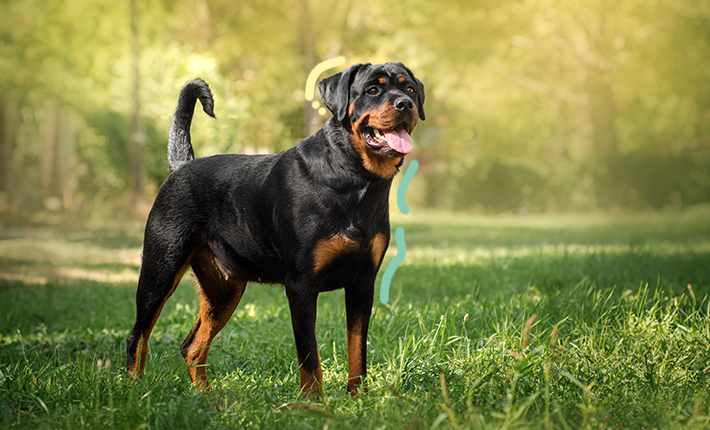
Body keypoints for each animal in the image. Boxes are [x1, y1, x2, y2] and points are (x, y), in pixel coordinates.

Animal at [126, 61, 426, 396]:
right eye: (373, 90)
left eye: (409, 88)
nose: (405, 104)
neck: (355, 180)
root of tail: (181, 166)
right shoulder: (301, 285)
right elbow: (309, 355)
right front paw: (314, 401)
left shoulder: (362, 282)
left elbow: (357, 349)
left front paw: (357, 397)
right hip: (161, 269)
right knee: (138, 336)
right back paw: (135, 389)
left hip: (224, 289)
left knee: (192, 345)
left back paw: (205, 395)